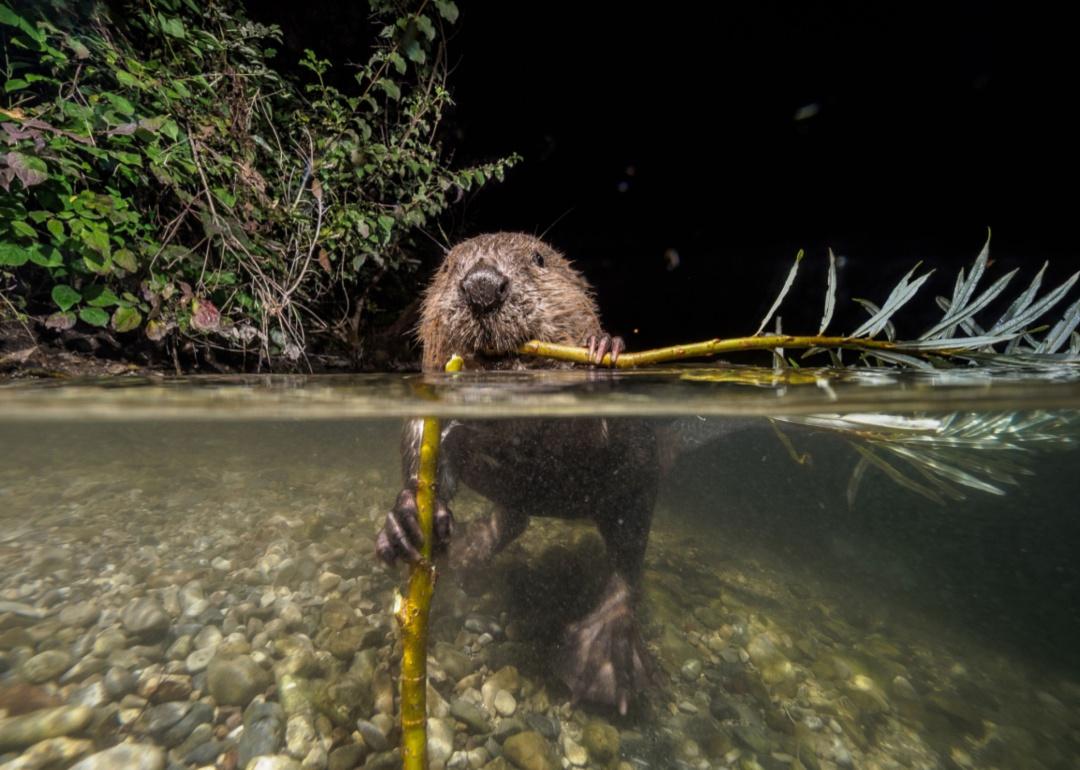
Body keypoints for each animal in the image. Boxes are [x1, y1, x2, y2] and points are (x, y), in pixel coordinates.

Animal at [371, 231, 656, 712]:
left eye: (539, 259)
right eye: (448, 266)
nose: (482, 286)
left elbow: (596, 429)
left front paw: (602, 347)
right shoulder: (431, 392)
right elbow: (424, 443)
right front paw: (406, 521)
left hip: (634, 499)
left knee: (626, 565)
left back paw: (603, 660)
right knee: (514, 518)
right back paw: (465, 550)